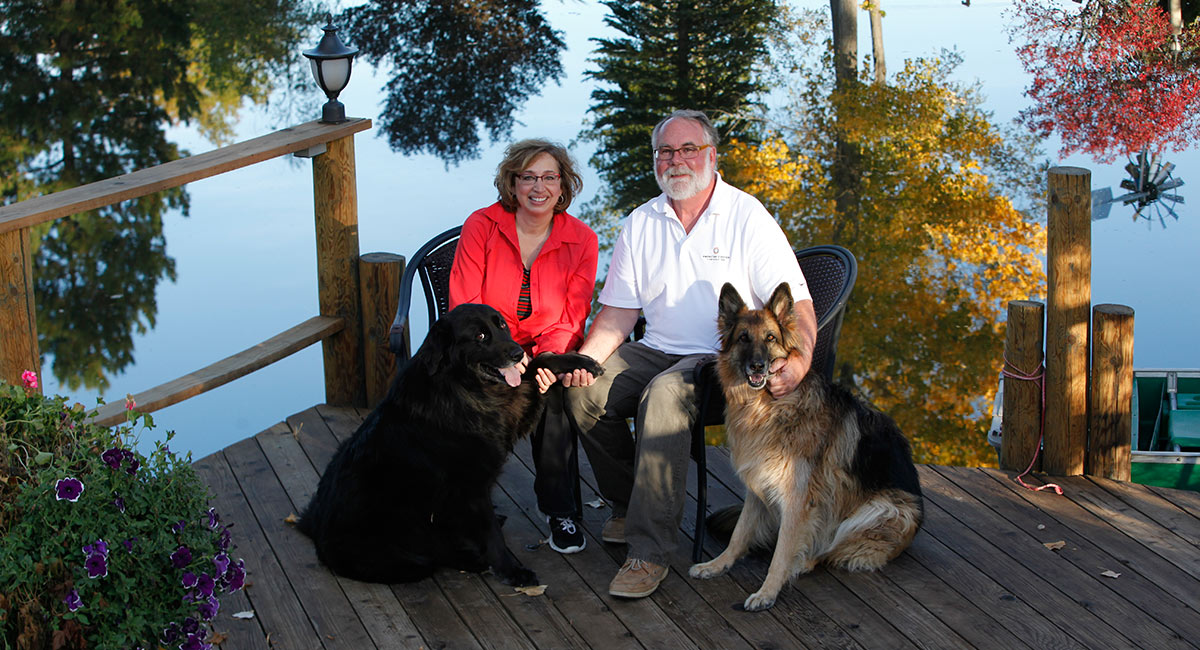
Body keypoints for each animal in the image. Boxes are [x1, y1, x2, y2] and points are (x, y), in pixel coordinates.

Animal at [296, 304, 604, 585]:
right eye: (480, 336)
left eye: (502, 326)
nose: (517, 353)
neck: (461, 388)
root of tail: (316, 531)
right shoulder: (472, 484)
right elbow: (492, 535)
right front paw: (512, 571)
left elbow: (540, 362)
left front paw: (580, 362)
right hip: (406, 539)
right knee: (432, 555)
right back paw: (473, 559)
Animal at [691, 283, 921, 614]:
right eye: (743, 338)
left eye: (770, 338)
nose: (758, 366)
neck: (768, 406)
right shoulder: (758, 487)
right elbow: (739, 534)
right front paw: (717, 565)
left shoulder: (797, 500)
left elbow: (782, 553)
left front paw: (767, 592)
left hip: (880, 511)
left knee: (828, 550)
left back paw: (802, 563)